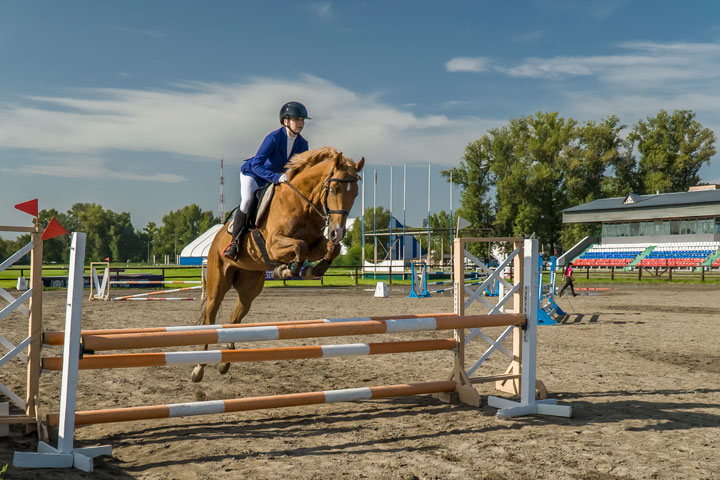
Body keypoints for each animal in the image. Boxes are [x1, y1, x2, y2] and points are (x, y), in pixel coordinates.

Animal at [190, 146, 362, 382]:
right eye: (334, 188)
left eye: (355, 193)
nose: (338, 232)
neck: (302, 203)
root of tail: (216, 239)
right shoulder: (273, 244)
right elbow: (299, 246)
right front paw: (287, 270)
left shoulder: (316, 243)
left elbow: (328, 249)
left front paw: (312, 269)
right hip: (218, 284)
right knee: (210, 318)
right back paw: (199, 367)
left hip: (249, 288)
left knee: (235, 318)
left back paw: (225, 362)